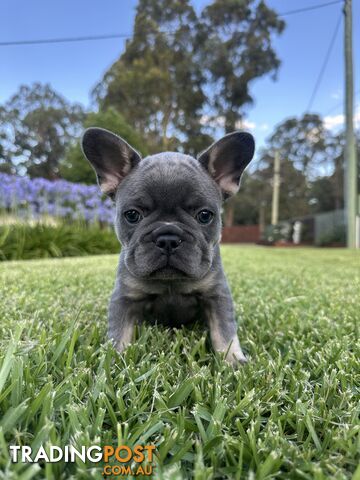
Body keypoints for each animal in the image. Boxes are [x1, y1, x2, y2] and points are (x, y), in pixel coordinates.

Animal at [82, 127, 255, 364]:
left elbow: (224, 331)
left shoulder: (216, 295)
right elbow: (119, 333)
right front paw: (114, 361)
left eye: (204, 215)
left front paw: (232, 360)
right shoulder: (125, 298)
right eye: (132, 215)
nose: (168, 238)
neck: (170, 282)